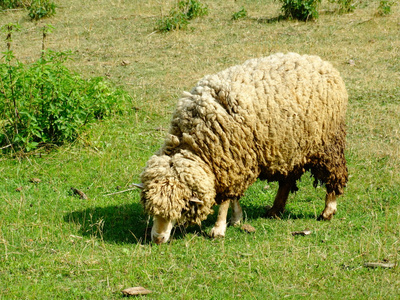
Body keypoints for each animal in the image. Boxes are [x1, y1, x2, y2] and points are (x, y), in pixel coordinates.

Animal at [140, 51, 346, 244]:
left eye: (180, 210)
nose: (158, 239)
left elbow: (225, 201)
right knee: (287, 180)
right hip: (291, 146)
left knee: (334, 175)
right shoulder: (235, 161)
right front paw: (236, 218)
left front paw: (218, 229)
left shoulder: (228, 163)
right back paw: (275, 209)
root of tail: (322, 63)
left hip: (327, 144)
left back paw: (328, 211)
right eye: (152, 211)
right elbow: (234, 197)